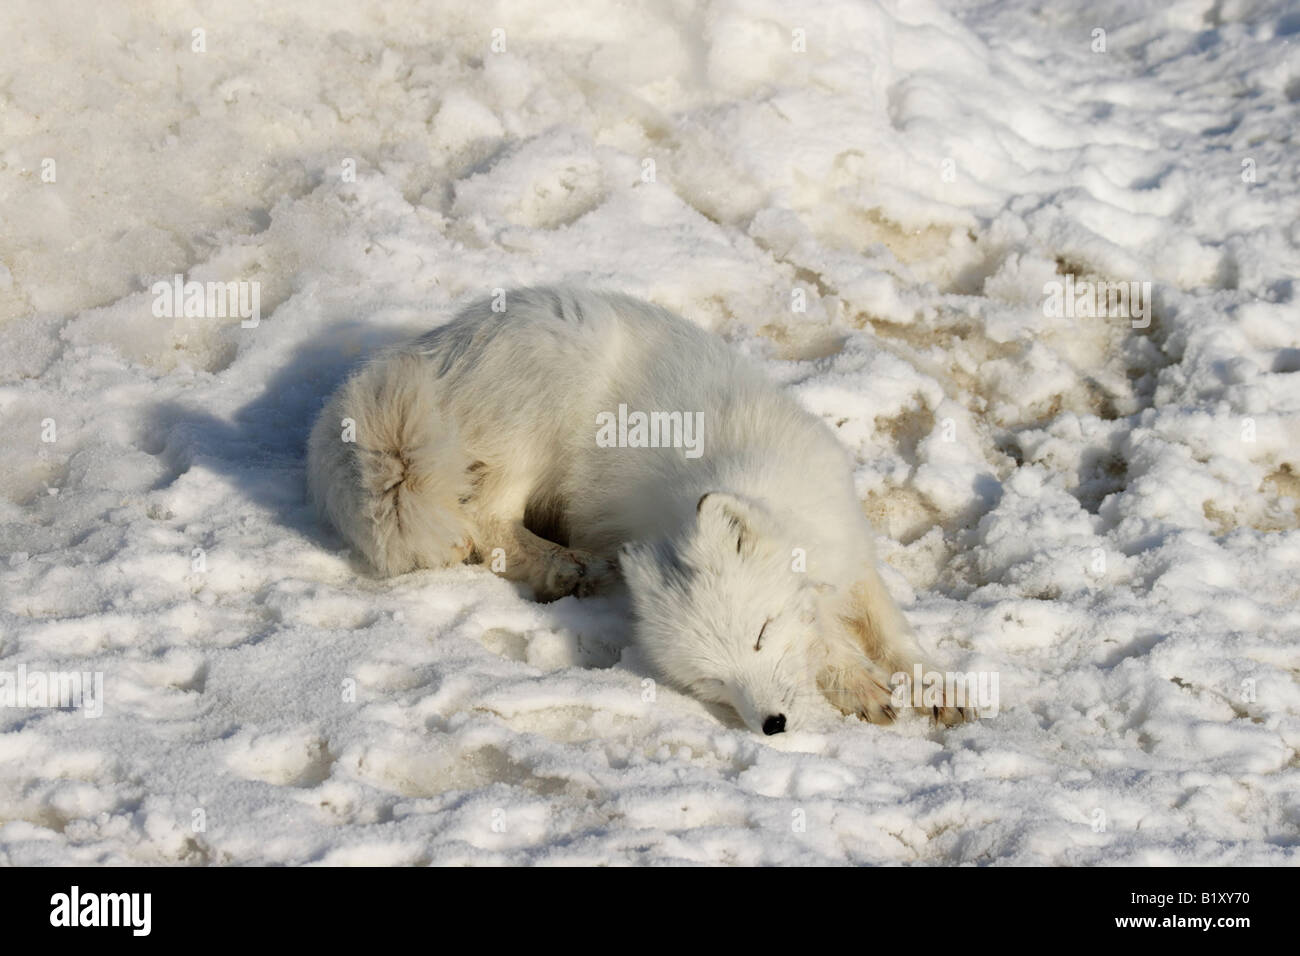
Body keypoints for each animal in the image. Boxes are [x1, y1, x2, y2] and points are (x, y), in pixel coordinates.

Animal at [309, 287, 972, 738]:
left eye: (759, 636)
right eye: (711, 680)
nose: (773, 725)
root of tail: (430, 350)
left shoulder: (850, 553)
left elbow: (894, 633)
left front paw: (938, 685)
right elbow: (831, 644)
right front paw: (859, 685)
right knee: (484, 522)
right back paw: (566, 566)